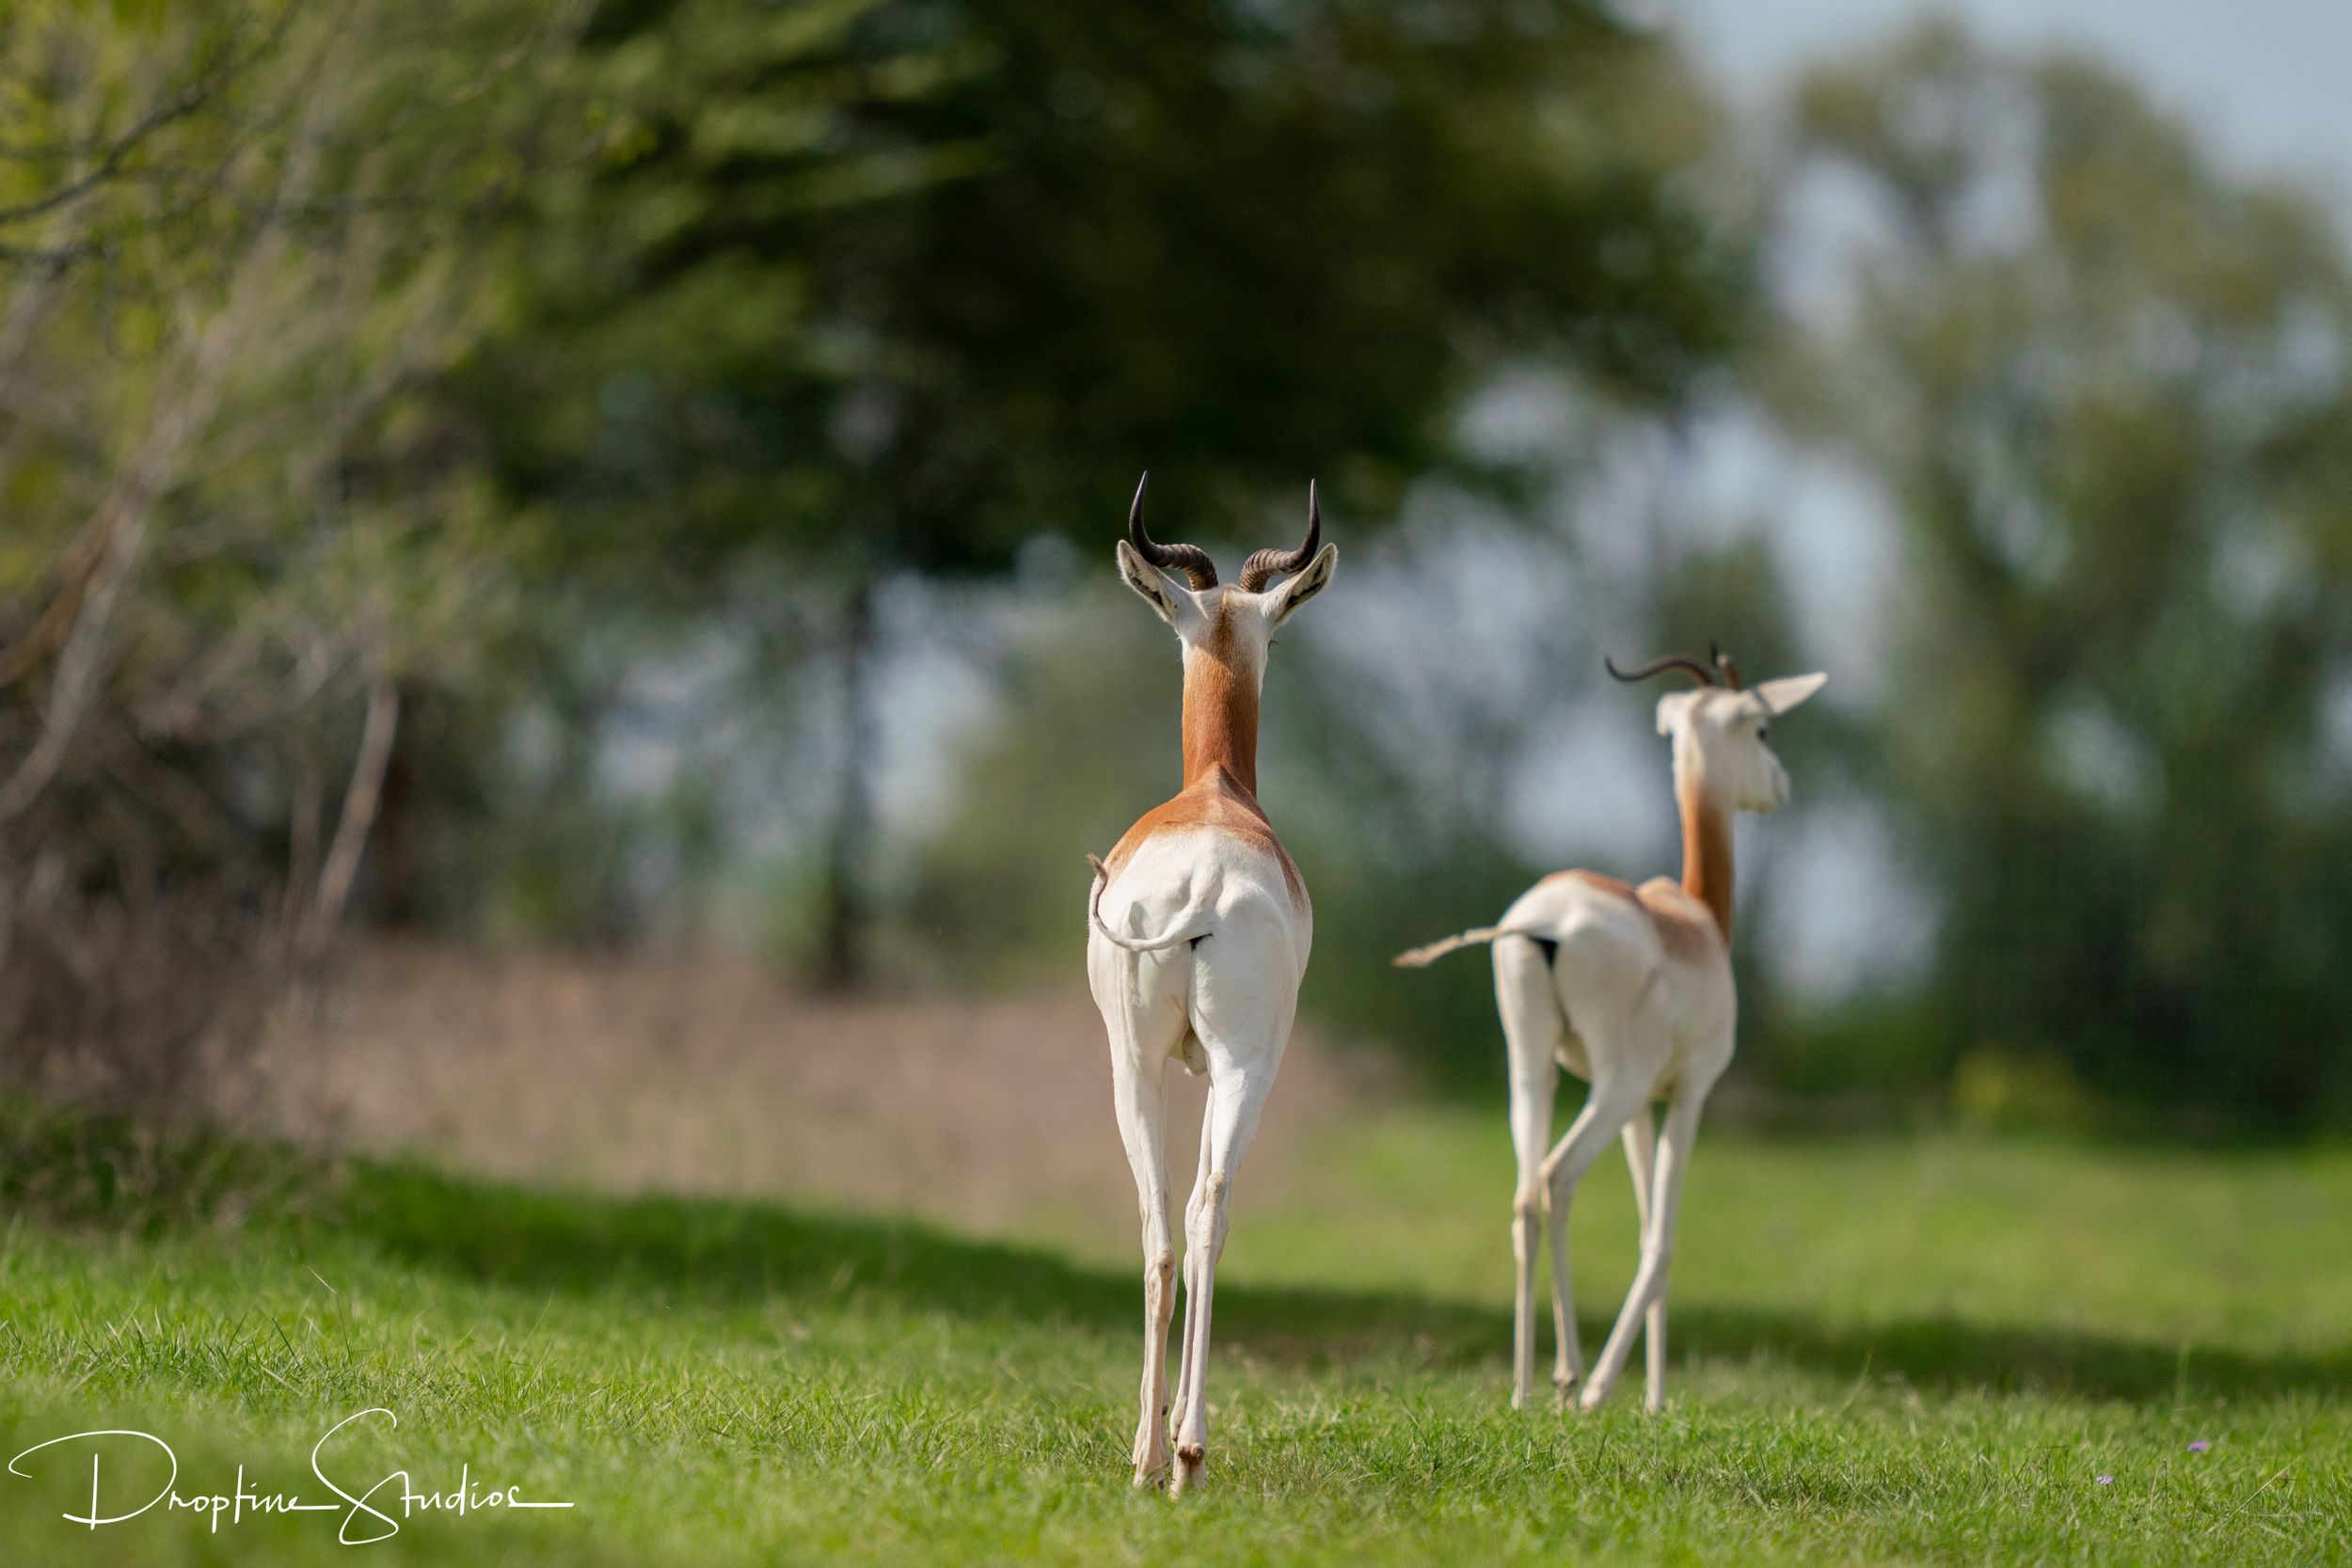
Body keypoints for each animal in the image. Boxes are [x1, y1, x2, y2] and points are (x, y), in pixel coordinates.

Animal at [1395, 648, 1825, 1413]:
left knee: (1524, 1193)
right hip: (1614, 1088)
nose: (1780, 786)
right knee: (1556, 1177)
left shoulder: (1643, 1106)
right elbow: (1662, 1238)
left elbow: (1642, 1219)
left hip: (1533, 1066)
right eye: (1764, 730)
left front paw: (1652, 1397)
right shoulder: (1687, 1093)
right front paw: (1618, 1390)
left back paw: (1524, 1388)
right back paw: (1573, 1379)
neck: (1697, 923)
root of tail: (1542, 924)